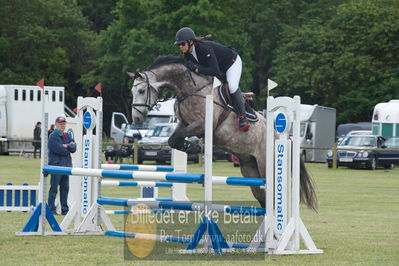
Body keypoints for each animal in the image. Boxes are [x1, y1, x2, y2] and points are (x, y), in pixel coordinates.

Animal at [130, 55, 318, 210]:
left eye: (141, 91)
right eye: (132, 91)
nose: (136, 118)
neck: (191, 89)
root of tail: (285, 139)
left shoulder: (202, 125)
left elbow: (178, 138)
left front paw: (194, 148)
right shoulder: (183, 123)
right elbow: (173, 140)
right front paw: (191, 148)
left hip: (266, 167)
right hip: (249, 168)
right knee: (263, 199)